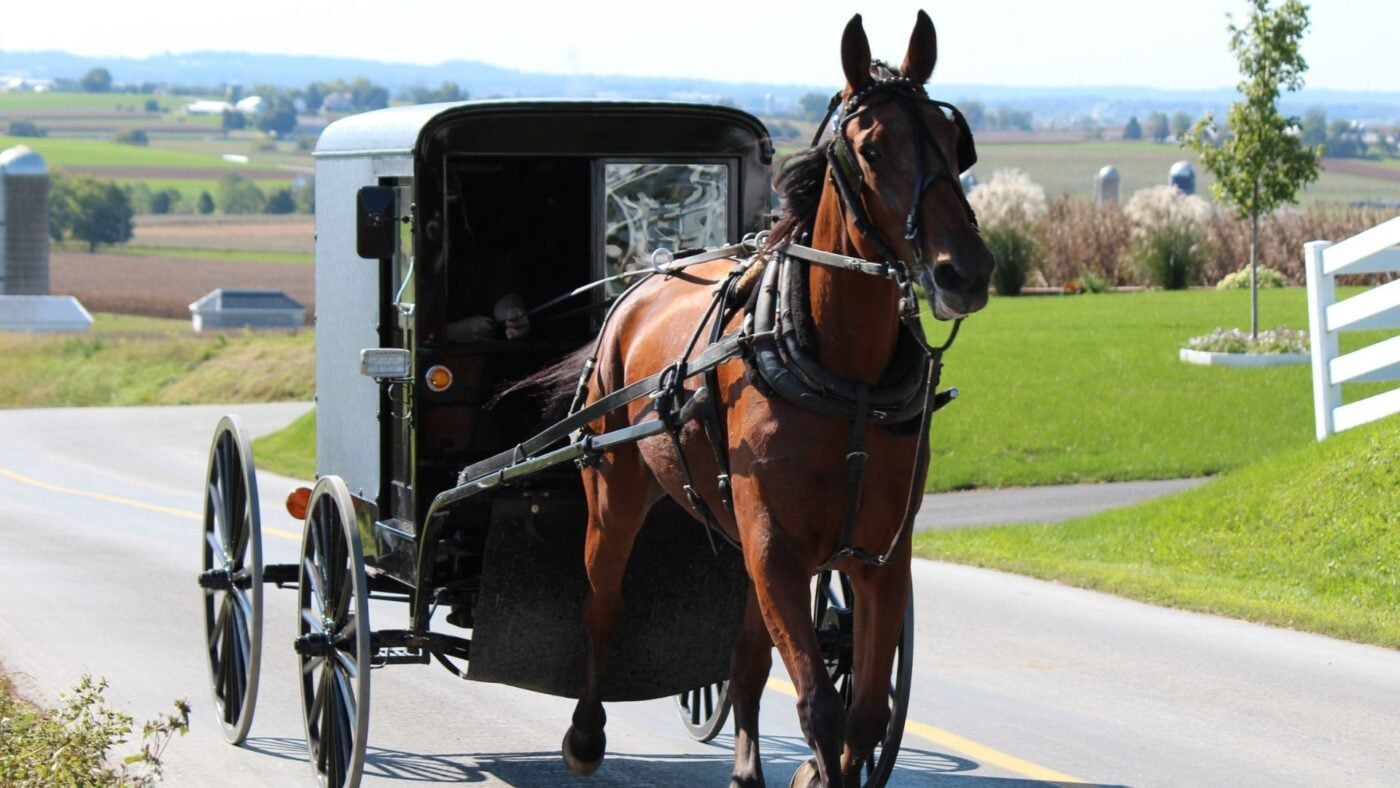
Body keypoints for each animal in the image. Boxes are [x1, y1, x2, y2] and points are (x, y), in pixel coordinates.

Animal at [554, 11, 994, 786]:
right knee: (602, 604)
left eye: (953, 142)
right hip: (616, 495)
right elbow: (820, 707)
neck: (845, 380)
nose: (964, 271)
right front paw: (817, 763)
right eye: (872, 147)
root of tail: (641, 280)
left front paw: (818, 768)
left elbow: (863, 713)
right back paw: (585, 733)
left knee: (748, 658)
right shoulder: (775, 547)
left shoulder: (880, 558)